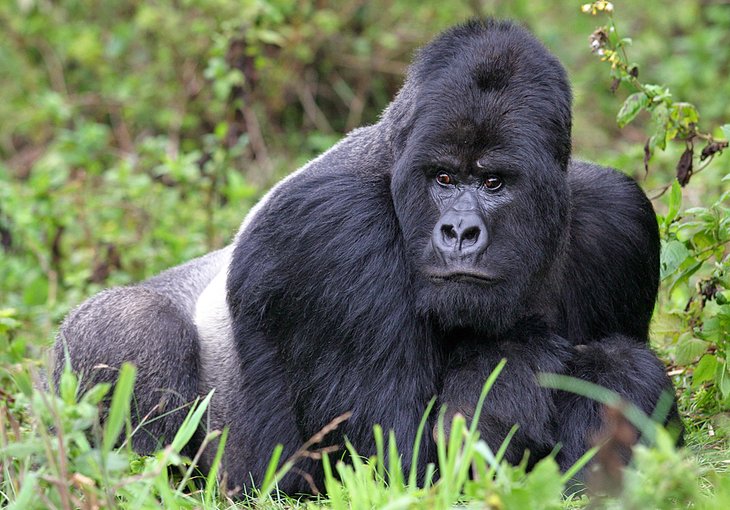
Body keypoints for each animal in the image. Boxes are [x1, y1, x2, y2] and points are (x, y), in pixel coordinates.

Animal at [51, 18, 676, 494]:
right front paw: (515, 361)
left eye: (494, 182)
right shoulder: (334, 232)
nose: (459, 232)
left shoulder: (620, 219)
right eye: (444, 178)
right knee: (134, 327)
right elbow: (398, 462)